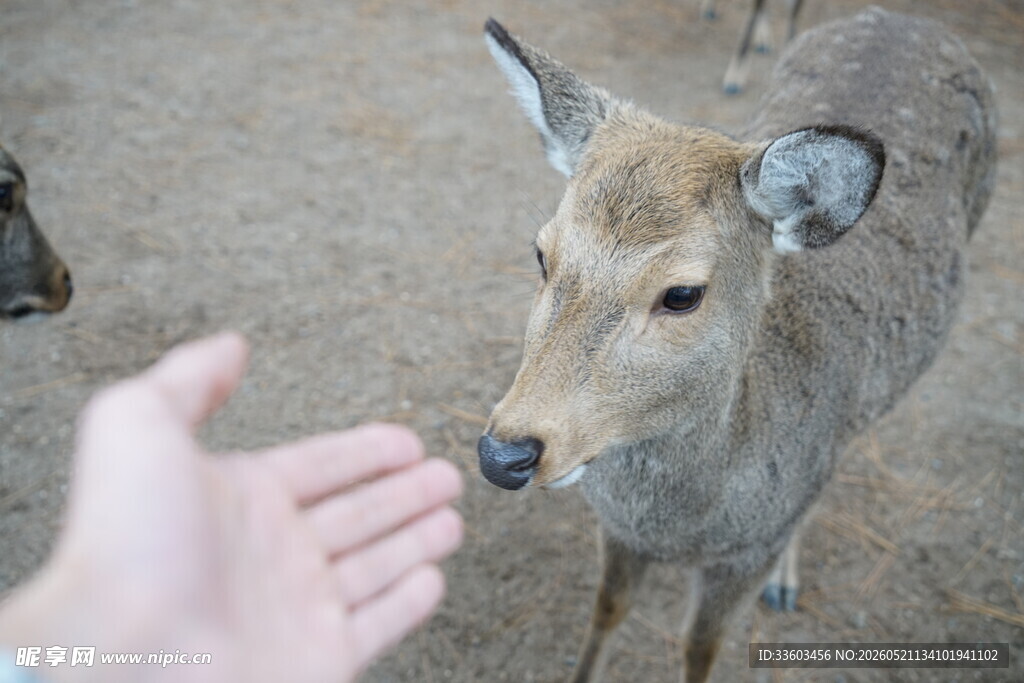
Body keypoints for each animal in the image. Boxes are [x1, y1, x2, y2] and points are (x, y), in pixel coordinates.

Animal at [477, 7, 996, 683]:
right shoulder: (619, 531)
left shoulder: (747, 550)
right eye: (541, 253)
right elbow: (607, 609)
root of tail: (905, 17)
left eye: (682, 294)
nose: (503, 454)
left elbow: (701, 647)